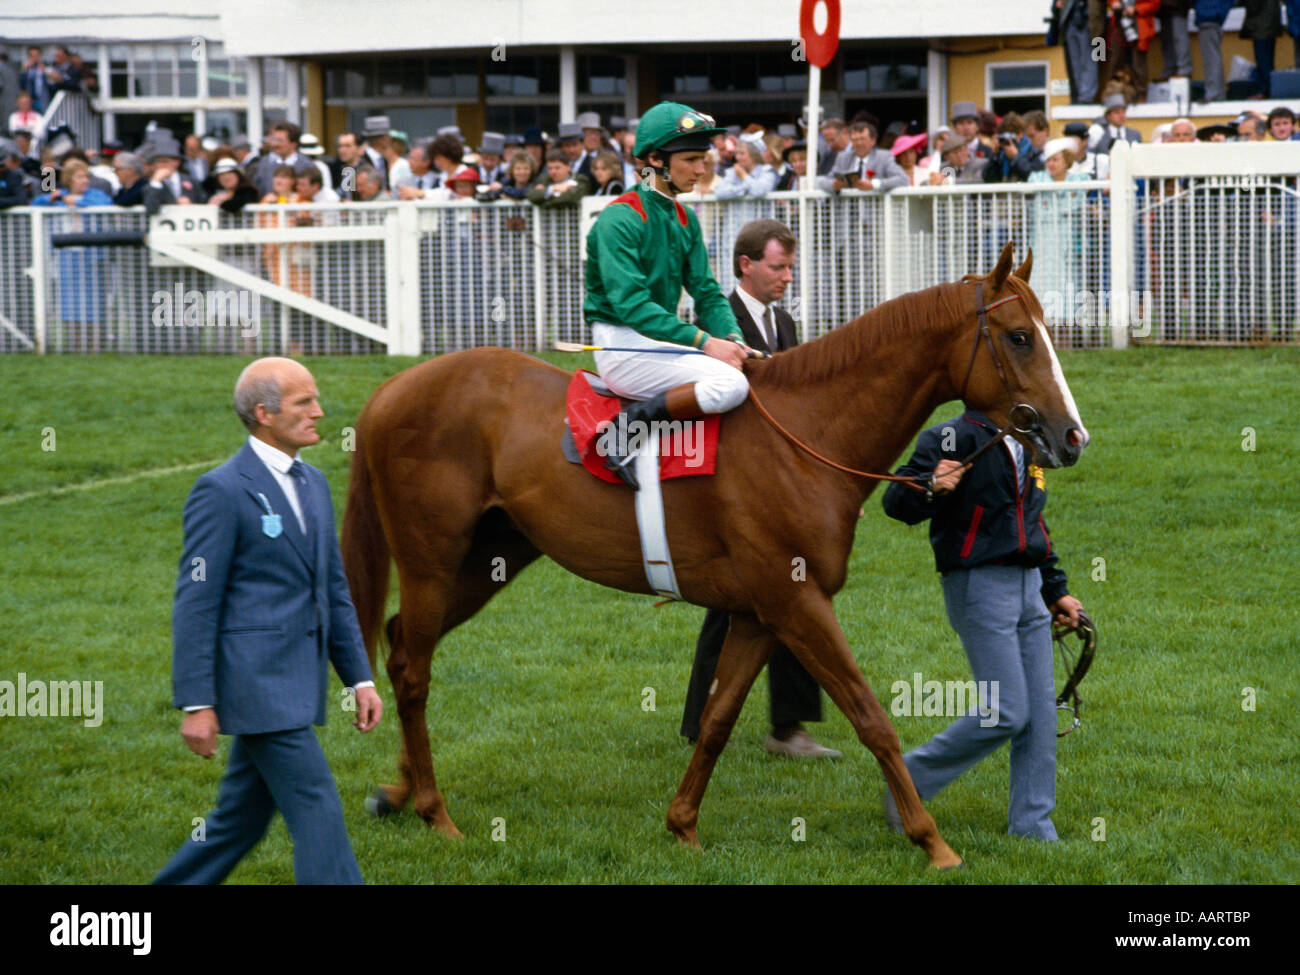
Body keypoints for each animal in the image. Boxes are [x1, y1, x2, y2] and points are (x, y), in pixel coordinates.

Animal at [343, 244, 1086, 868]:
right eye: (1020, 337)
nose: (1071, 436)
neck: (806, 435)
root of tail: (388, 393)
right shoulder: (798, 601)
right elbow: (870, 716)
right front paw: (932, 841)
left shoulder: (760, 611)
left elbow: (718, 717)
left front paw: (682, 825)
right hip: (433, 560)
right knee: (412, 670)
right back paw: (436, 813)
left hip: (491, 559)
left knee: (402, 643)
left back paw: (398, 792)